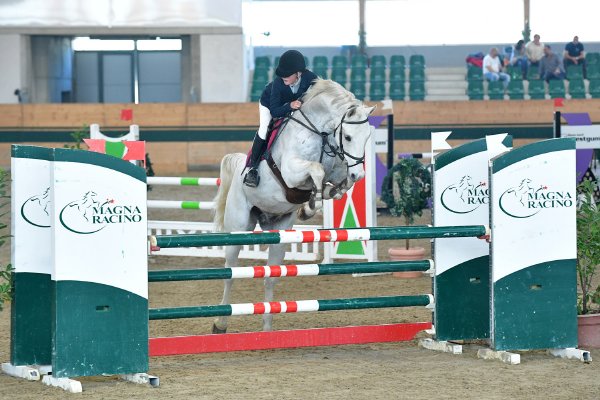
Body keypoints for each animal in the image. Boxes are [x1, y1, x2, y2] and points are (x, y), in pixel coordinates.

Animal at [212, 77, 376, 332]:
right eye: (348, 137)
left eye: (367, 138)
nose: (359, 174)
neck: (320, 133)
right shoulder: (292, 172)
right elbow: (316, 171)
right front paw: (311, 205)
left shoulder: (338, 169)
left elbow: (338, 181)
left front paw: (327, 194)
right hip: (239, 228)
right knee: (231, 272)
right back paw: (220, 324)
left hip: (279, 233)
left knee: (271, 276)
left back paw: (267, 328)